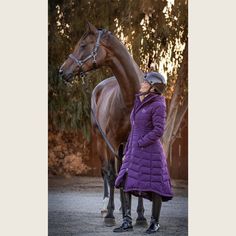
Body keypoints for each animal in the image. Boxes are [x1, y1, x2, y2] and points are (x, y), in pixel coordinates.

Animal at [59, 22, 147, 225]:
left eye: (83, 45)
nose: (62, 71)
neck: (129, 100)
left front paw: (140, 216)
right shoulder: (111, 141)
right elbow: (112, 174)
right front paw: (111, 214)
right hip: (101, 141)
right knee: (107, 171)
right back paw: (110, 208)